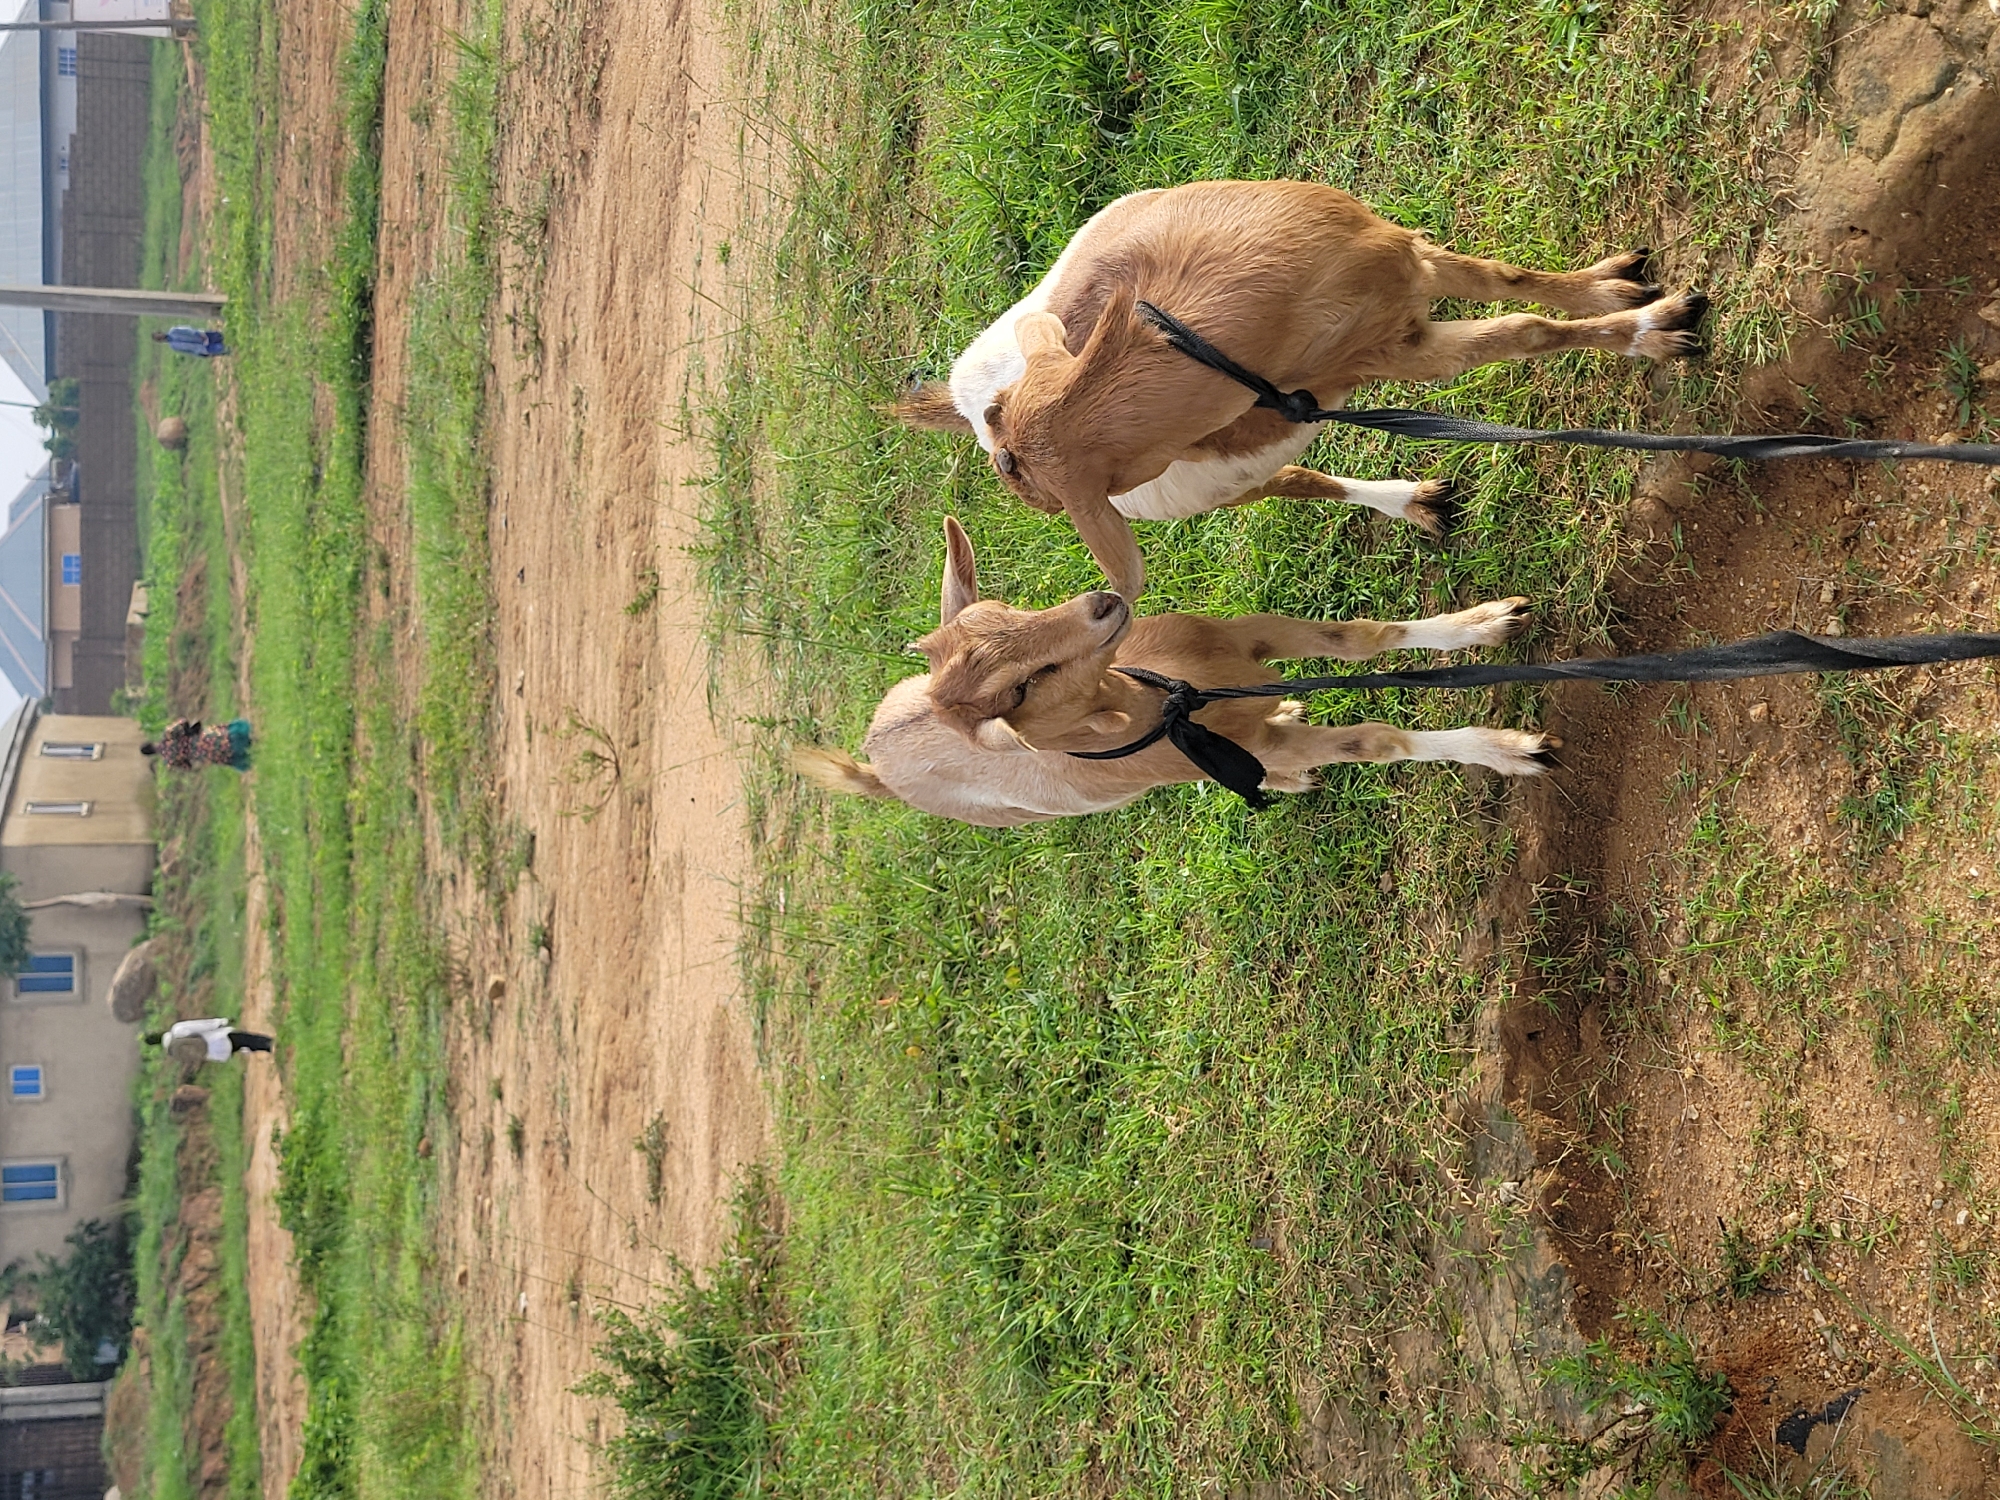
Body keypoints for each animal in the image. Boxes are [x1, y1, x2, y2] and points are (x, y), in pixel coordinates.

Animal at [795, 518, 1556, 827]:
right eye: (1019, 688)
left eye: (1002, 605)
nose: (1104, 603)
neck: (1169, 702)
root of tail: (872, 761)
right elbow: (1377, 739)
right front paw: (1513, 751)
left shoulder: (1241, 635)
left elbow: (1360, 639)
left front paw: (1490, 620)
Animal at [897, 179, 1705, 599]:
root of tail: (960, 397)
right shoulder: (1398, 351)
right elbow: (1523, 330)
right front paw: (1656, 330)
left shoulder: (1404, 257)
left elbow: (1512, 281)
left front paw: (1614, 285)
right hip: (1221, 489)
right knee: (1295, 479)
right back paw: (1413, 505)